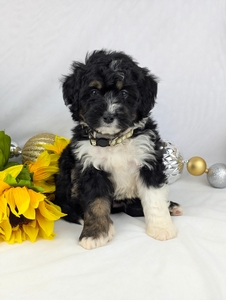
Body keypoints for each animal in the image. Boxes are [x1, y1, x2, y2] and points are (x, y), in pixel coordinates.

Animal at [55, 50, 184, 250]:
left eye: (124, 93)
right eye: (93, 92)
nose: (109, 116)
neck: (113, 141)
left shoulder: (148, 160)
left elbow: (154, 197)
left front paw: (161, 228)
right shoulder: (90, 168)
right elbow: (95, 204)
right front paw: (94, 233)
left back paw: (171, 206)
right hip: (67, 171)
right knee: (68, 206)